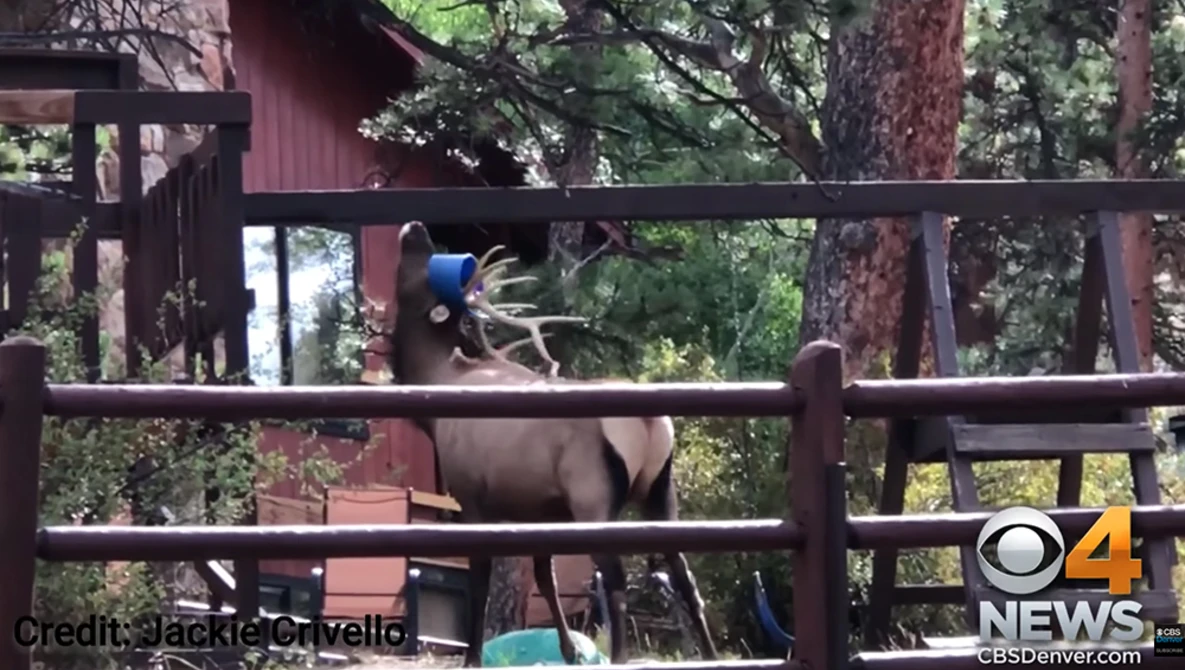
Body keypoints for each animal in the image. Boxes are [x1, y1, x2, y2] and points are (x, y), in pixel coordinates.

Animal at [389, 221, 718, 666]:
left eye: (424, 269)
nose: (416, 226)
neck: (437, 392)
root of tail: (650, 422)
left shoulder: (470, 493)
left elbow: (482, 575)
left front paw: (473, 656)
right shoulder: (538, 507)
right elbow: (545, 577)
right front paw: (568, 650)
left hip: (591, 493)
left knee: (615, 578)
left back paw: (620, 657)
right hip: (661, 488)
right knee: (684, 574)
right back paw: (711, 653)